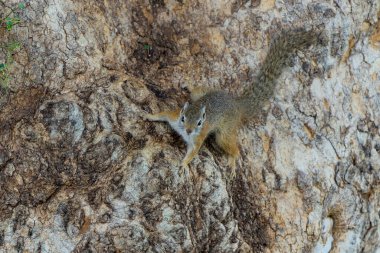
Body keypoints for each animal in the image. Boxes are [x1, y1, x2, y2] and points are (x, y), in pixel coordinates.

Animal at [145, 28, 320, 176]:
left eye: (200, 123)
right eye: (183, 118)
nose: (188, 130)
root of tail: (236, 104)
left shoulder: (197, 140)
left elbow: (192, 153)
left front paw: (183, 164)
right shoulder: (174, 117)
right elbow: (164, 114)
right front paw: (150, 116)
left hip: (224, 133)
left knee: (233, 148)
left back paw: (233, 160)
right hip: (199, 94)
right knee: (196, 91)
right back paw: (189, 85)